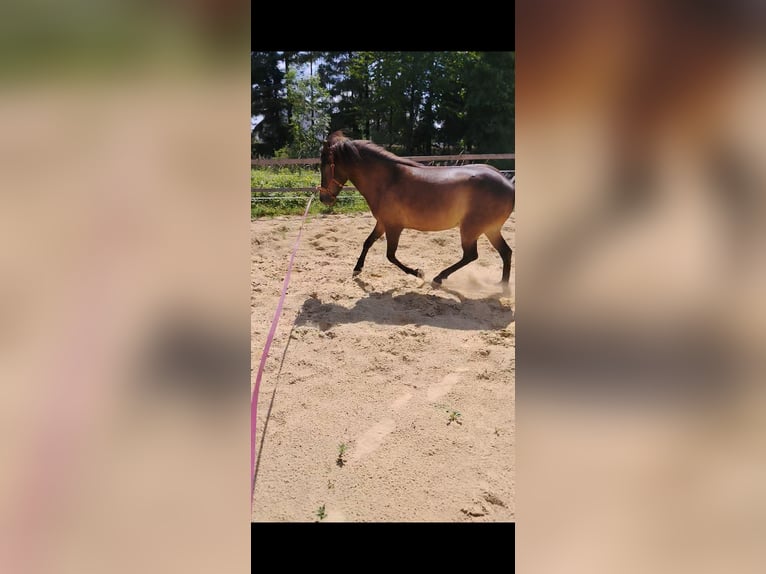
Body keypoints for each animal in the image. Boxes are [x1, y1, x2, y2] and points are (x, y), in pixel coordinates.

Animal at [316, 131, 515, 285]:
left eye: (325, 164)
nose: (323, 198)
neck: (387, 181)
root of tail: (508, 184)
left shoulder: (394, 227)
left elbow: (390, 255)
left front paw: (418, 272)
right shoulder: (382, 223)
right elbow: (368, 242)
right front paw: (357, 269)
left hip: (471, 229)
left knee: (471, 255)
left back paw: (439, 278)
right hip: (490, 229)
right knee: (505, 252)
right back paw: (502, 286)